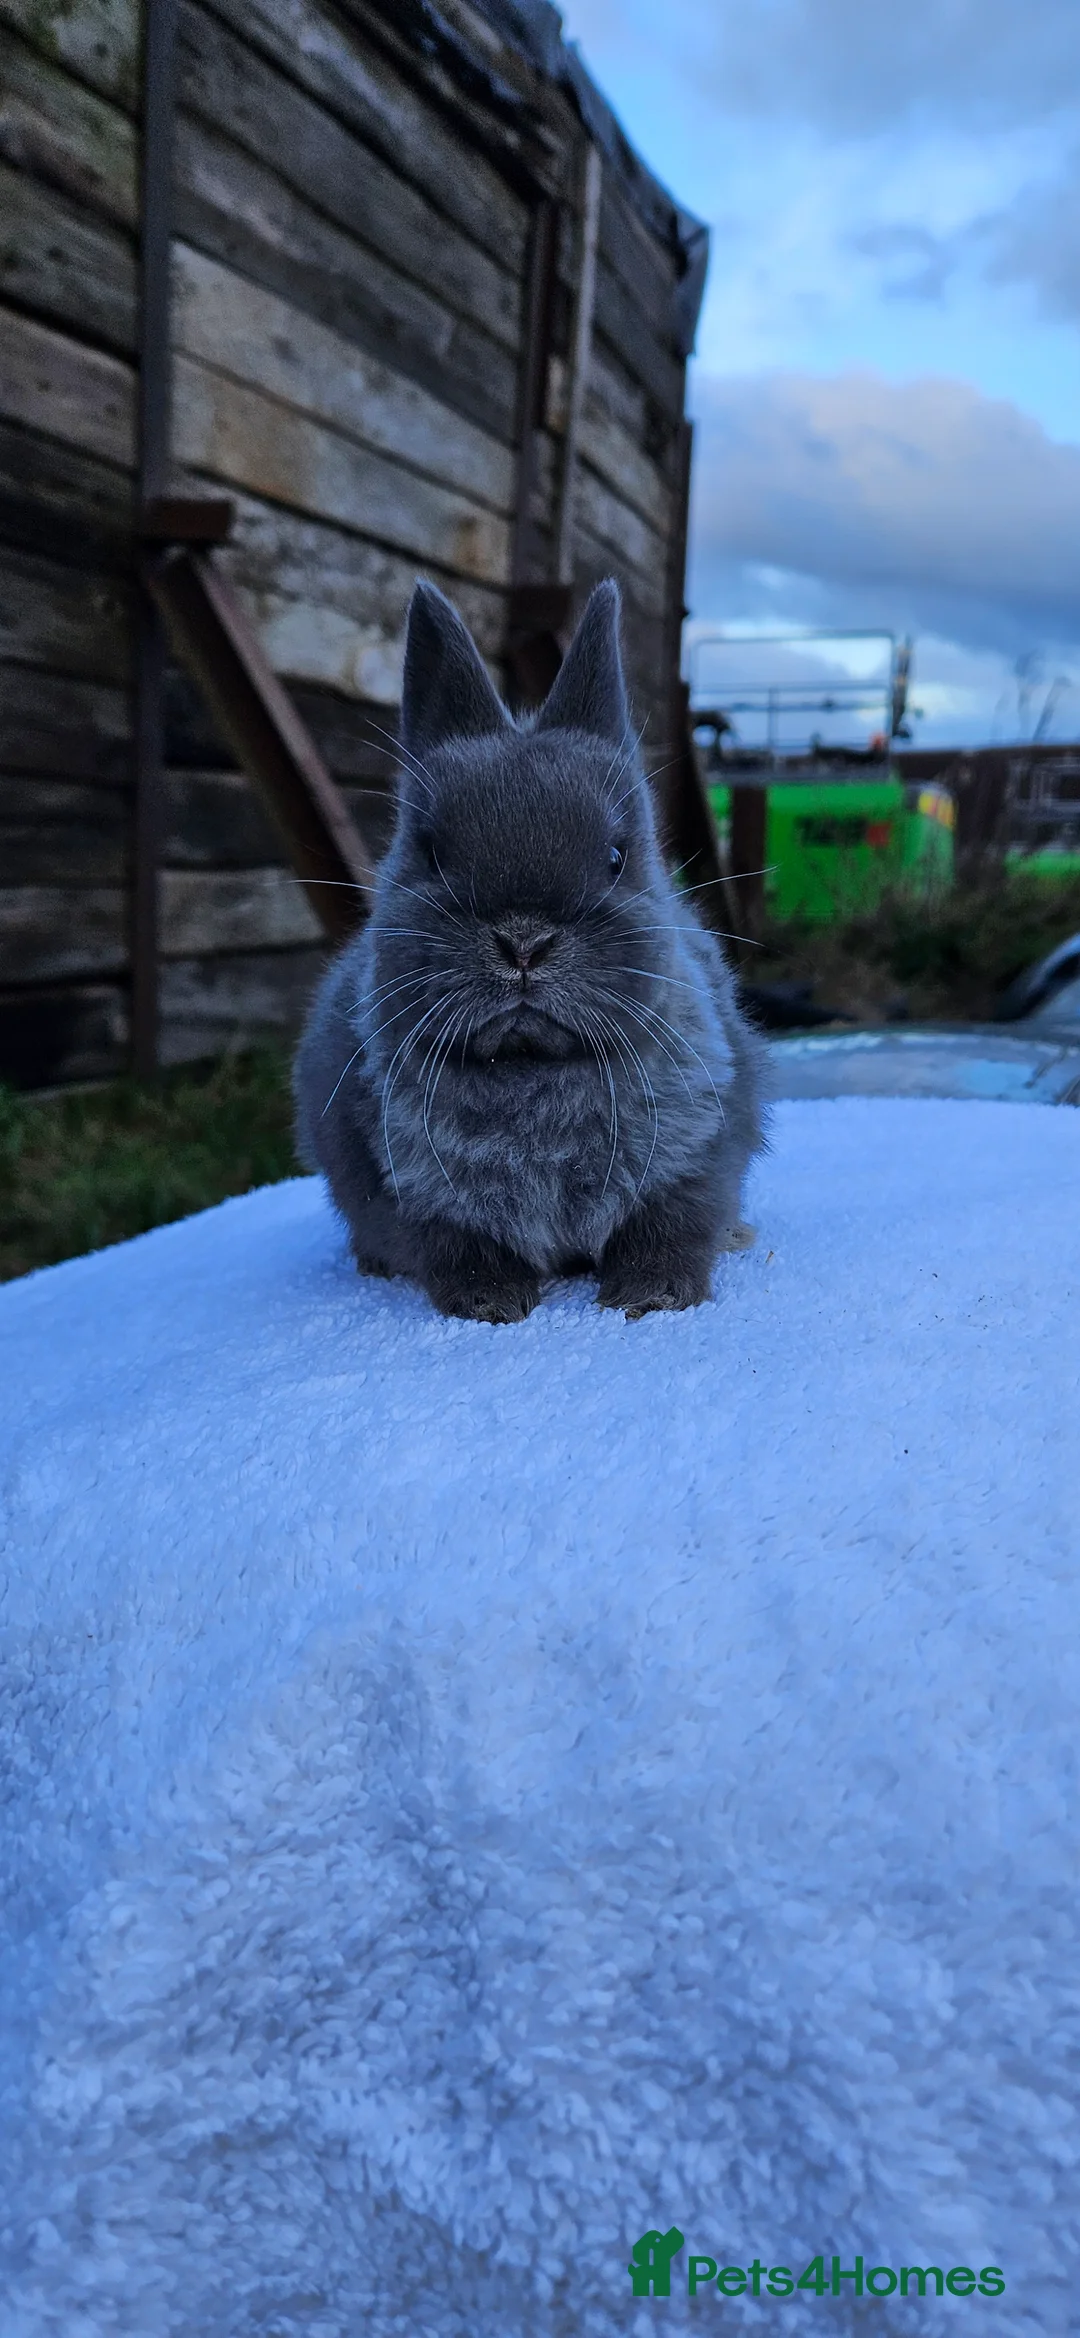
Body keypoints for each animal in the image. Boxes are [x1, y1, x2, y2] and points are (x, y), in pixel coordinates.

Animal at [294, 577, 766, 1322]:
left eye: (615, 857)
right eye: (431, 852)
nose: (523, 941)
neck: (531, 1071)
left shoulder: (696, 1158)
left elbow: (670, 1228)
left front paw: (651, 1297)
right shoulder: (422, 1198)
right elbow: (459, 1250)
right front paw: (492, 1304)